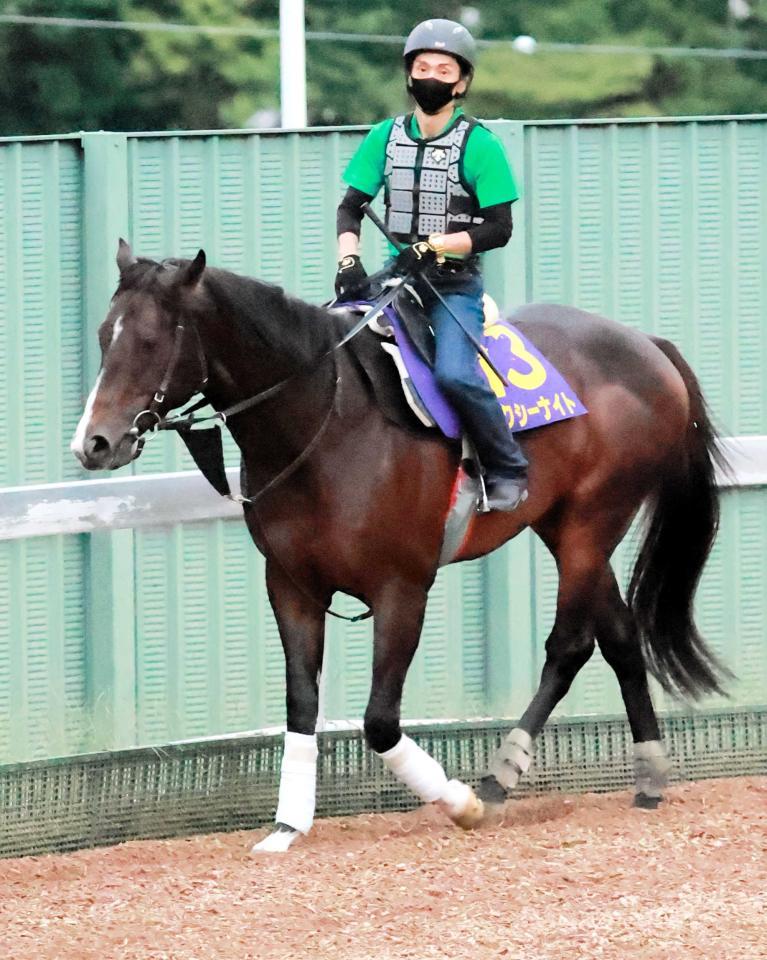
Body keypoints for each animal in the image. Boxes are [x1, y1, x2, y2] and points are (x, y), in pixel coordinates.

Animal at [72, 242, 732, 856]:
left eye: (151, 340)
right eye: (104, 337)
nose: (93, 443)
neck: (326, 421)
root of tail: (648, 345)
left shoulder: (402, 589)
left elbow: (381, 722)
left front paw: (461, 803)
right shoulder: (290, 585)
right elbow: (301, 703)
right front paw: (287, 826)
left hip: (591, 523)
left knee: (570, 645)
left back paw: (499, 776)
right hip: (562, 523)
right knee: (618, 633)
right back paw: (649, 774)